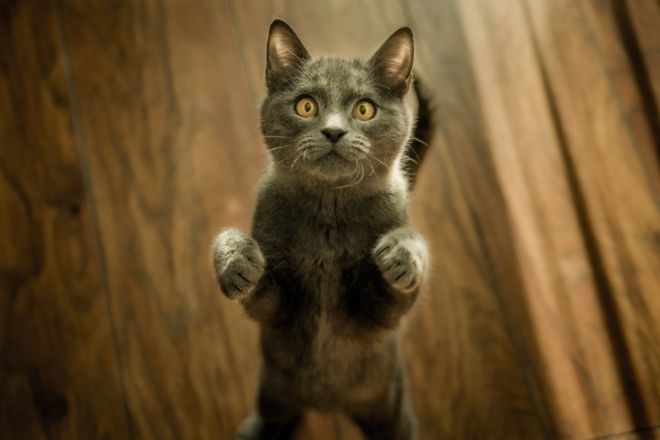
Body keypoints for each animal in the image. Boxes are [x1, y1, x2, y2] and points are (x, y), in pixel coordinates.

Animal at [211, 18, 436, 438]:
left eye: (364, 109)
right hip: (273, 391)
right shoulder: (277, 315)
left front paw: (401, 254)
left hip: (390, 404)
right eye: (306, 105)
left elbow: (399, 286)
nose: (333, 131)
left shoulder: (379, 320)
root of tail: (326, 404)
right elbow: (256, 287)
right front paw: (236, 261)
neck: (329, 214)